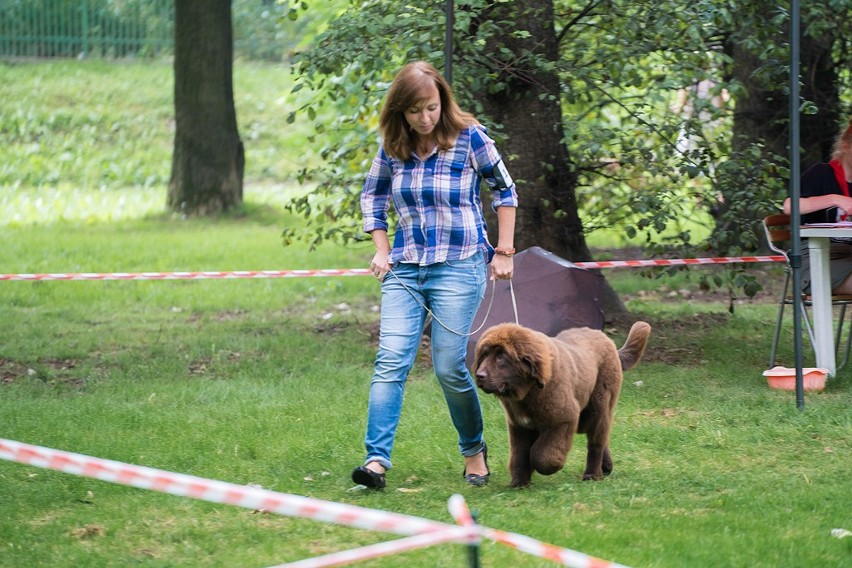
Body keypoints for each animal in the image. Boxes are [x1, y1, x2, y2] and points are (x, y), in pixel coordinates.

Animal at [476, 322, 648, 486]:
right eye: (484, 355)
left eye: (501, 357)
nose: (479, 375)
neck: (529, 392)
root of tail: (607, 340)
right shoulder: (519, 426)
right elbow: (520, 455)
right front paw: (520, 483)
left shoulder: (563, 419)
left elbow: (541, 456)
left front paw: (549, 467)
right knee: (602, 436)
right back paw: (606, 466)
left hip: (599, 405)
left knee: (596, 442)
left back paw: (592, 475)